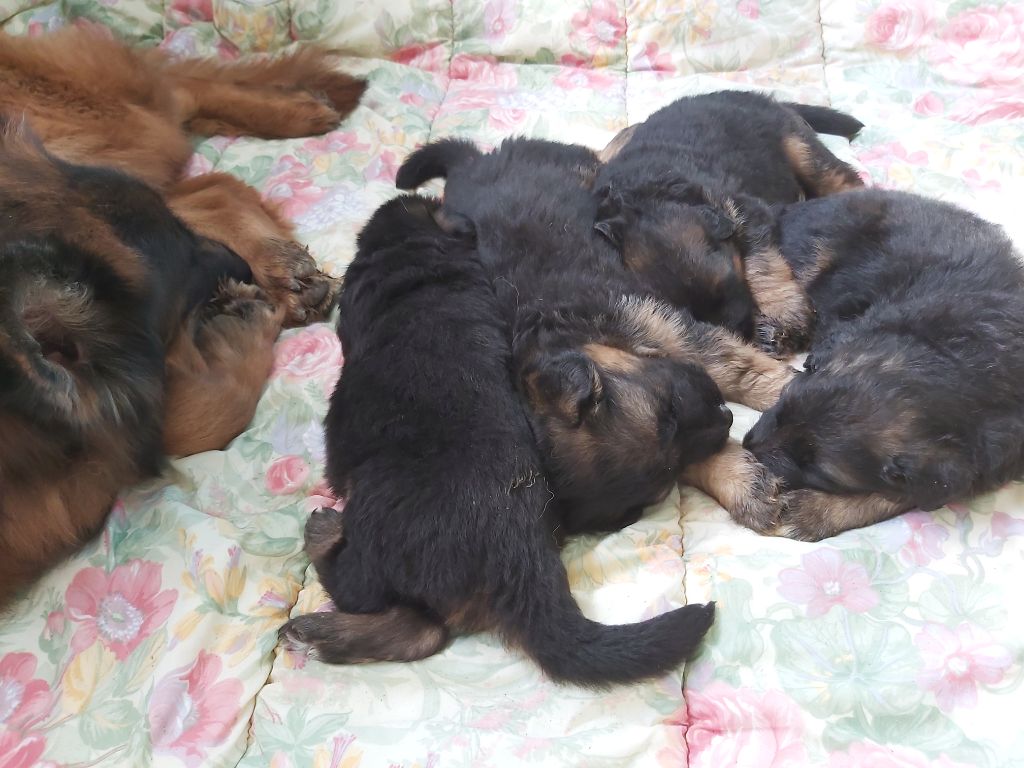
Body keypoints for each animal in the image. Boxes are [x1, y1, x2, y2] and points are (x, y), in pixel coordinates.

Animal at [276, 195, 716, 688]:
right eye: (670, 407)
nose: (725, 414)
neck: (416, 257)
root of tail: (523, 559)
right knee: (422, 633)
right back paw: (320, 635)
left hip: (375, 524)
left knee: (361, 590)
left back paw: (322, 539)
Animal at [395, 137, 794, 536]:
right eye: (666, 476)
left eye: (668, 407)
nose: (728, 416)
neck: (562, 336)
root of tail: (472, 161)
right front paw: (742, 483)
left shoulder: (663, 325)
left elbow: (739, 370)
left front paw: (783, 388)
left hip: (582, 169)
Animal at [593, 87, 864, 346]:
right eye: (690, 314)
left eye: (726, 288)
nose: (742, 334)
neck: (649, 196)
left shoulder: (747, 211)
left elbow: (762, 264)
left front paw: (783, 316)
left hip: (798, 146)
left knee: (842, 178)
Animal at [741, 189, 1024, 540]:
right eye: (783, 402)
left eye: (817, 471)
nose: (748, 444)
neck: (955, 359)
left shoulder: (985, 463)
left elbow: (899, 496)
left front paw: (813, 511)